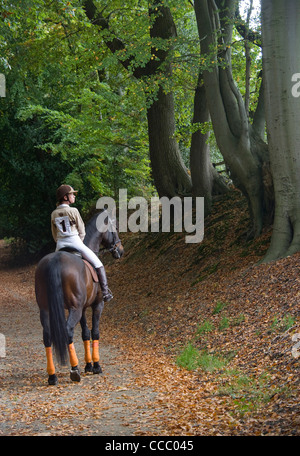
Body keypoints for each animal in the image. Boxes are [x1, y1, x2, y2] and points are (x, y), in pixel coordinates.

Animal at [34, 210, 123, 384]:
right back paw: (74, 370)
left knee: (47, 337)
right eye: (115, 227)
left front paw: (88, 365)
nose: (120, 250)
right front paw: (96, 366)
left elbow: (85, 333)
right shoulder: (97, 305)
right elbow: (94, 332)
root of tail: (55, 261)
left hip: (46, 310)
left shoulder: (81, 308)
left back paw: (52, 376)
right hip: (74, 309)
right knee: (68, 331)